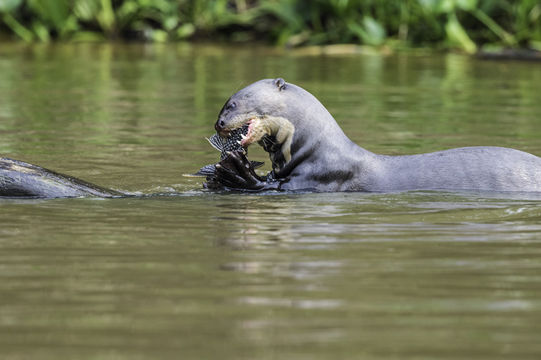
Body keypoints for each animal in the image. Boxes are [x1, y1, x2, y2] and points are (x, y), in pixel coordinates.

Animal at [207, 77, 540, 193]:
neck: (315, 148)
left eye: (233, 104)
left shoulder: (319, 178)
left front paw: (236, 172)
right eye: (223, 105)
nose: (218, 123)